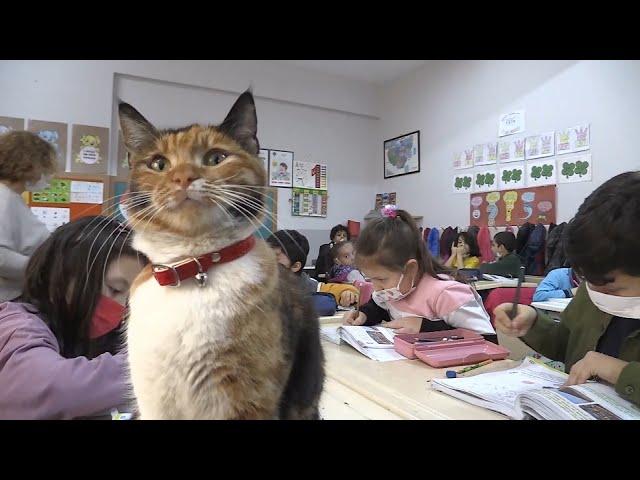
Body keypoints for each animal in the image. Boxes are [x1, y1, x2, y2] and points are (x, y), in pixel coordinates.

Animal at [119, 91, 324, 420]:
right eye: (159, 163)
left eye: (216, 158)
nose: (183, 177)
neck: (191, 266)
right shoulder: (154, 399)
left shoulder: (247, 399)